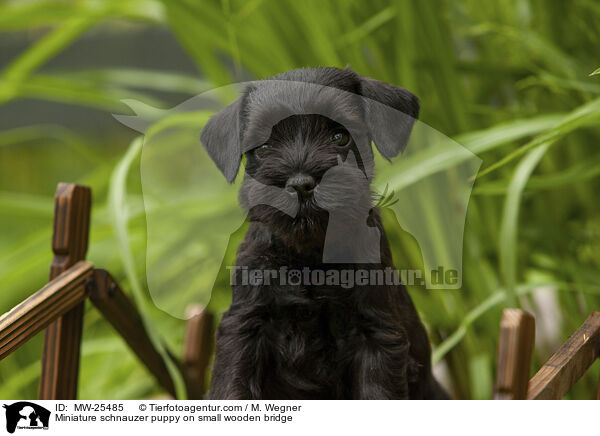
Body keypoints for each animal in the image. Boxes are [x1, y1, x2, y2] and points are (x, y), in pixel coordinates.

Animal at [199, 65, 448, 398]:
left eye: (340, 136)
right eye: (264, 147)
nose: (301, 184)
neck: (310, 256)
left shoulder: (376, 334)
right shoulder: (244, 328)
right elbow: (232, 388)